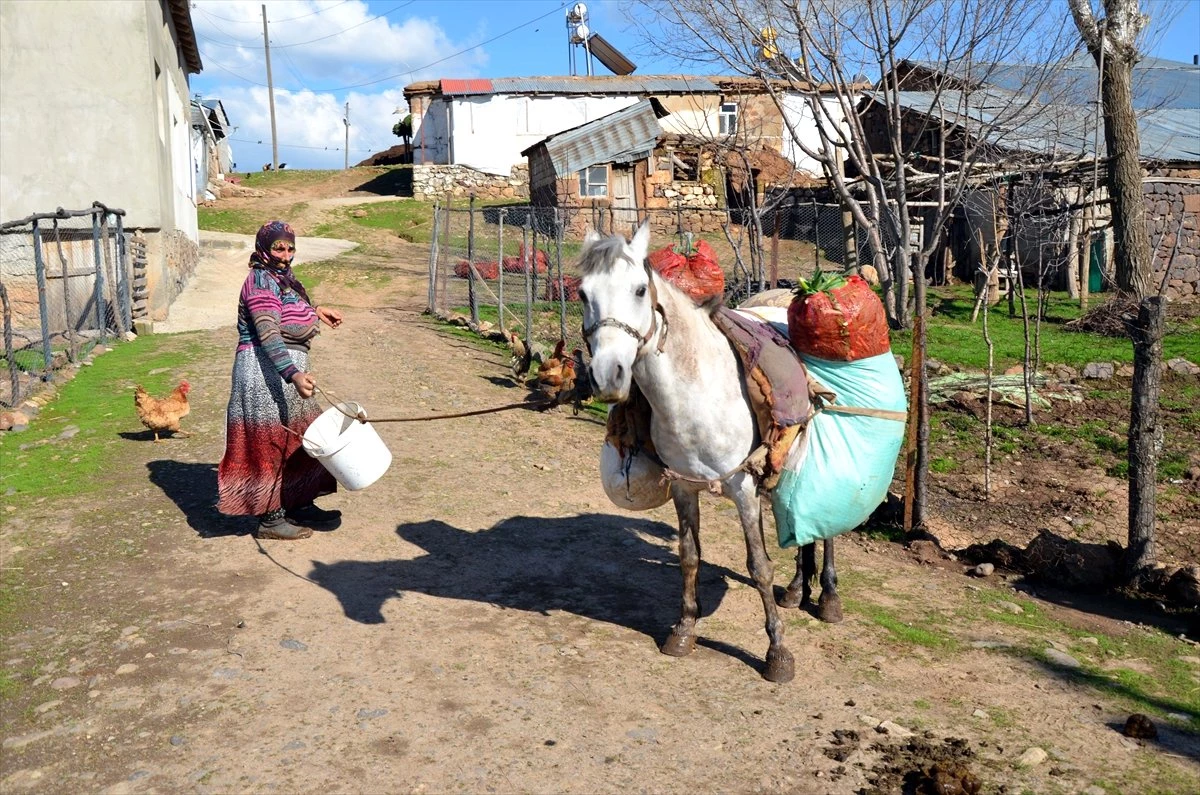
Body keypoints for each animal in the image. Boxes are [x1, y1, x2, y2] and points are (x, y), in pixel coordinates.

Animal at [580, 225, 844, 686]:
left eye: (639, 289)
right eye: (581, 293)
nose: (608, 376)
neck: (697, 391)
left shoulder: (742, 487)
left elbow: (759, 566)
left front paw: (778, 653)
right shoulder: (684, 486)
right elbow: (690, 556)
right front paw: (684, 630)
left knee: (825, 525)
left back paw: (827, 596)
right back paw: (797, 589)